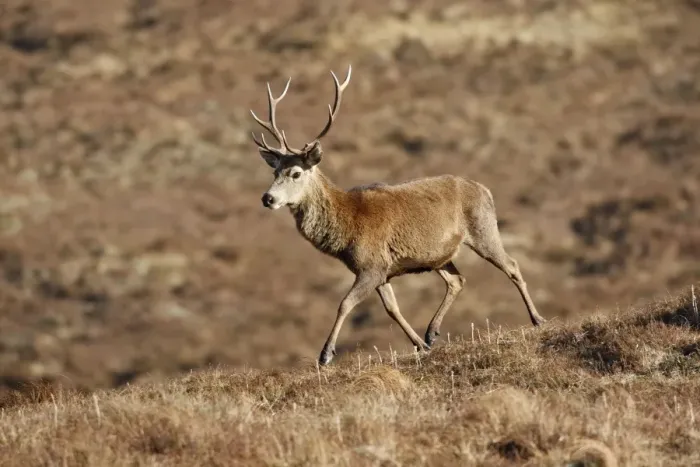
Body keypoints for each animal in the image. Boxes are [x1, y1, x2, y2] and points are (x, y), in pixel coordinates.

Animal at [249, 65, 547, 366]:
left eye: (296, 173)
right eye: (274, 172)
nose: (268, 198)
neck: (347, 227)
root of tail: (486, 190)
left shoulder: (371, 265)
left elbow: (345, 303)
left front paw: (325, 354)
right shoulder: (382, 271)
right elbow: (392, 308)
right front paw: (419, 345)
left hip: (484, 229)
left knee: (512, 265)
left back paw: (537, 319)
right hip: (440, 254)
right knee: (457, 280)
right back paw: (431, 332)